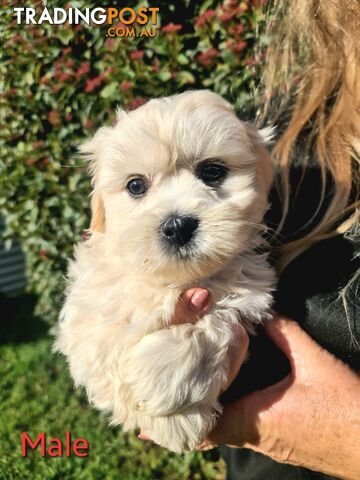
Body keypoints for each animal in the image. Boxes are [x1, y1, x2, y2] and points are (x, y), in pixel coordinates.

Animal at [55, 90, 276, 454]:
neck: (173, 279)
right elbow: (108, 343)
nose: (177, 226)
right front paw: (165, 416)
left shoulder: (245, 295)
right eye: (135, 186)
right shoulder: (88, 311)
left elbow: (215, 323)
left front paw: (170, 403)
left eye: (212, 171)